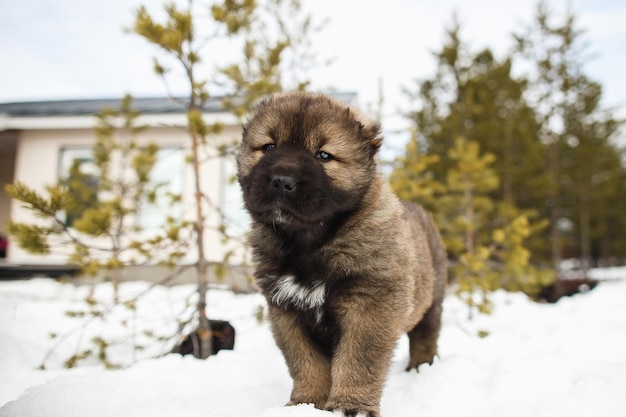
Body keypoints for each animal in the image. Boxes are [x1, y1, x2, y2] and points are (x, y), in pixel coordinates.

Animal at [236, 92, 446, 416]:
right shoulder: (286, 311)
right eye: (269, 147)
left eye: (323, 155)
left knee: (426, 334)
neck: (309, 243)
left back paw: (421, 368)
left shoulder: (370, 305)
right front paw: (305, 402)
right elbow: (305, 363)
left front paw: (351, 405)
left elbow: (358, 360)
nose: (282, 180)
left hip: (432, 299)